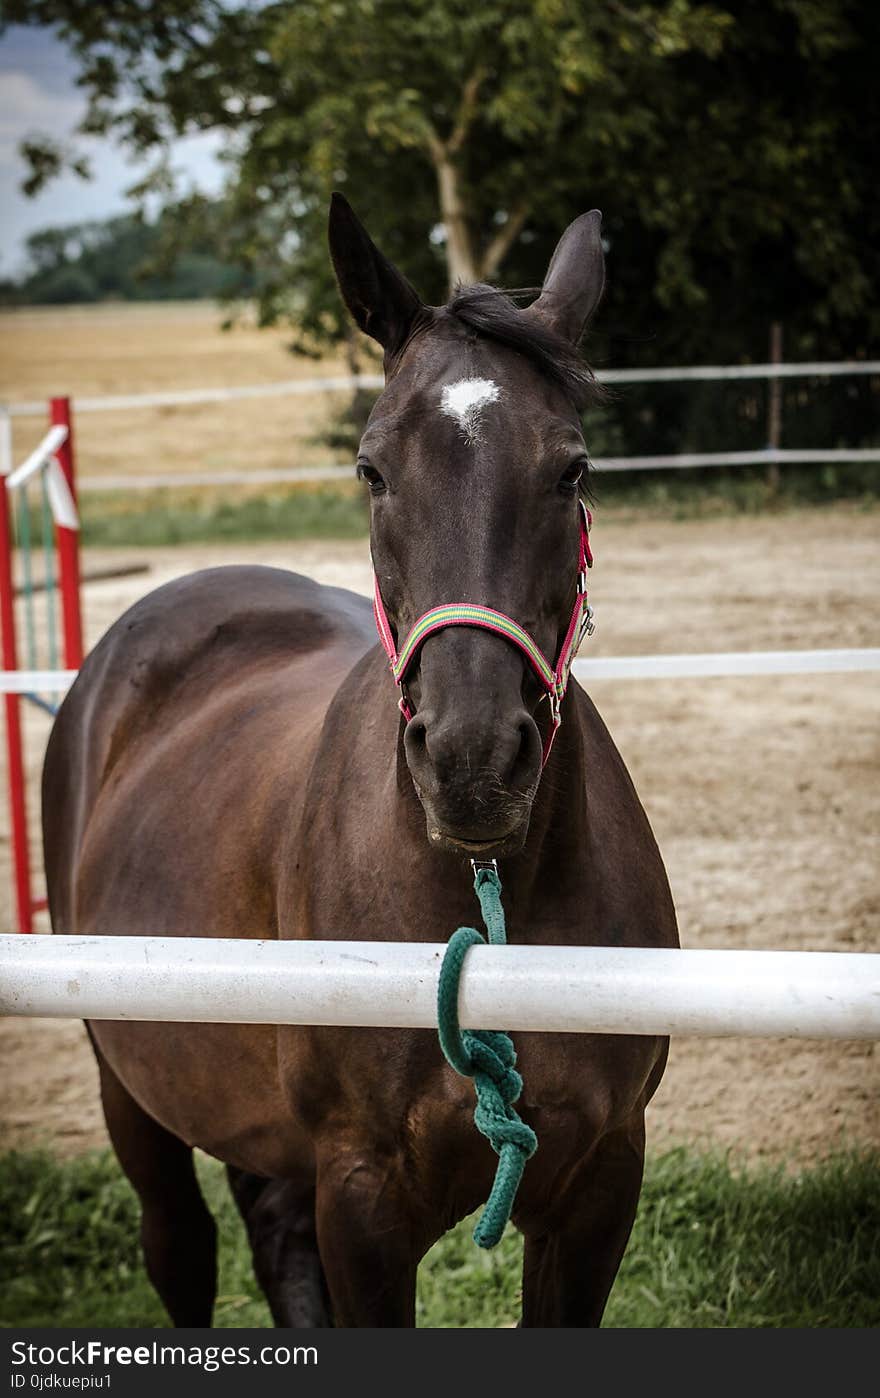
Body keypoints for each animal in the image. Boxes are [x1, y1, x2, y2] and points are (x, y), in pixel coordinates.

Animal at [42, 194, 679, 1319]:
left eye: (572, 469)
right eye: (371, 468)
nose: (472, 759)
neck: (491, 906)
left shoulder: (602, 1185)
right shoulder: (363, 1199)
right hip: (131, 1094)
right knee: (181, 1247)